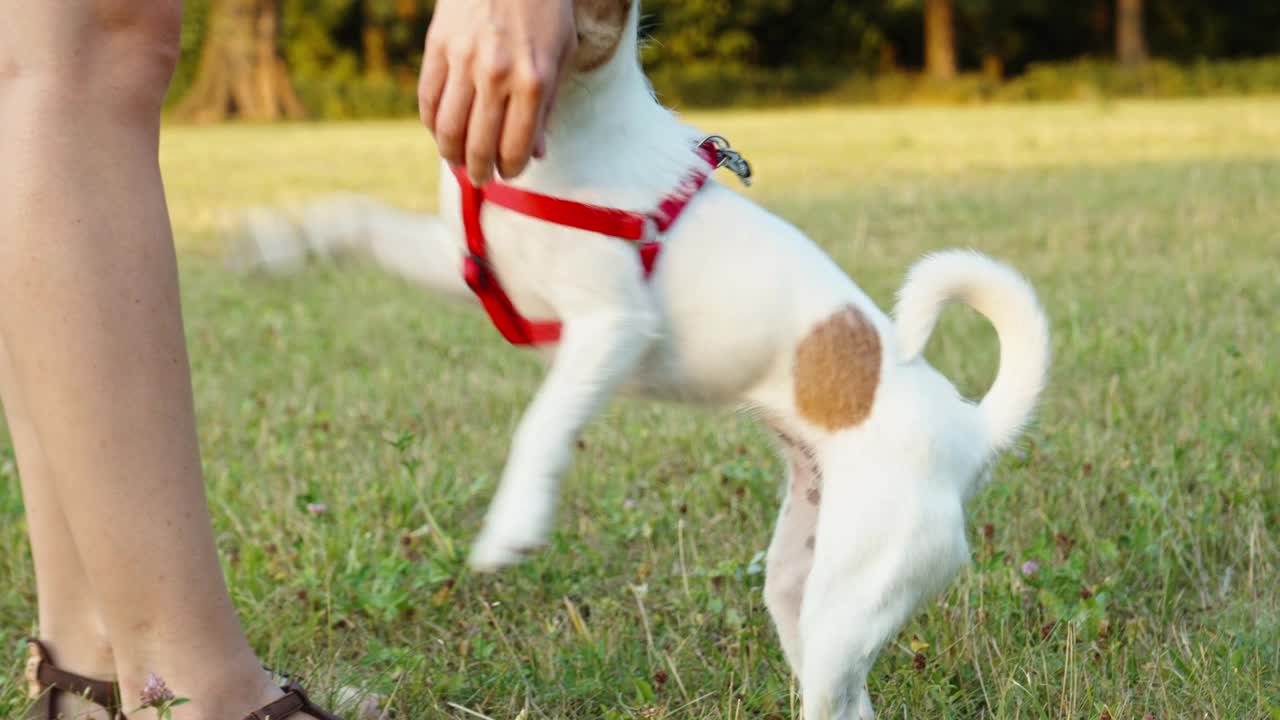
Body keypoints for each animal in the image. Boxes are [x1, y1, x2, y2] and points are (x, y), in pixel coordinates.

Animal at [230, 0, 1049, 712]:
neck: (569, 123)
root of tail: (970, 428)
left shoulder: (612, 327)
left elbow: (542, 423)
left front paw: (512, 523)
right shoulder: (469, 266)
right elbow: (355, 219)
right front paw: (280, 244)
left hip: (856, 590)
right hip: (804, 588)